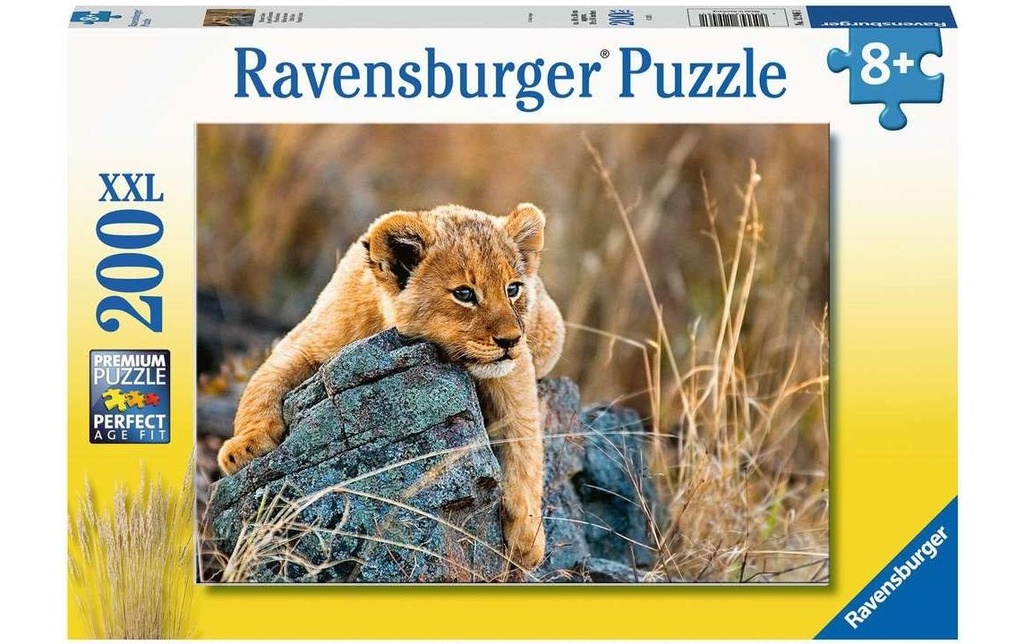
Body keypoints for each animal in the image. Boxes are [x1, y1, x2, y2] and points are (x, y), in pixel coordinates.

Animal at [217, 203, 565, 572]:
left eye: (513, 289)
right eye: (464, 294)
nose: (510, 340)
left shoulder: (515, 370)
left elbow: (524, 441)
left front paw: (527, 537)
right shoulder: (305, 341)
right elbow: (262, 382)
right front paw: (243, 448)